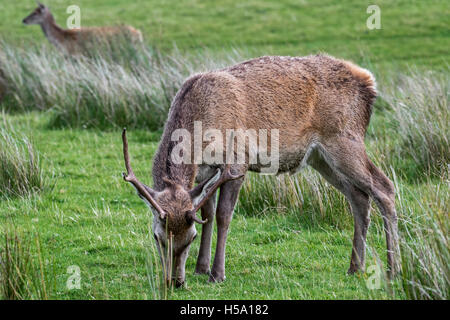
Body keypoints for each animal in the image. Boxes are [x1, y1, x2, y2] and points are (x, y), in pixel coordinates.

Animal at [121, 53, 400, 286]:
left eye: (190, 237)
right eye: (157, 236)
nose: (175, 281)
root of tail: (369, 82)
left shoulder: (236, 162)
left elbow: (223, 215)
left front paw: (217, 274)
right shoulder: (204, 174)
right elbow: (207, 213)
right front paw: (201, 268)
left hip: (345, 139)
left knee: (384, 187)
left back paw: (393, 269)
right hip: (319, 158)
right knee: (359, 197)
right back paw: (355, 267)